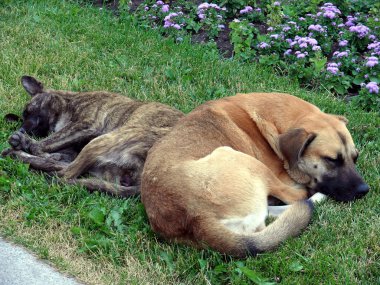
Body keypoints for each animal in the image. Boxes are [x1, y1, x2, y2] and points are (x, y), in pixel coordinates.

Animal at [1, 75, 183, 195]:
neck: (69, 102)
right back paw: (17, 155)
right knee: (63, 169)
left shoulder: (85, 125)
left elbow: (45, 143)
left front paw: (28, 143)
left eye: (28, 111)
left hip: (107, 139)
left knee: (64, 174)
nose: (22, 130)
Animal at [141, 92, 370, 255]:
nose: (364, 191)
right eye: (332, 160)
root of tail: (195, 216)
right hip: (240, 158)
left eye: (356, 157)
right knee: (296, 197)